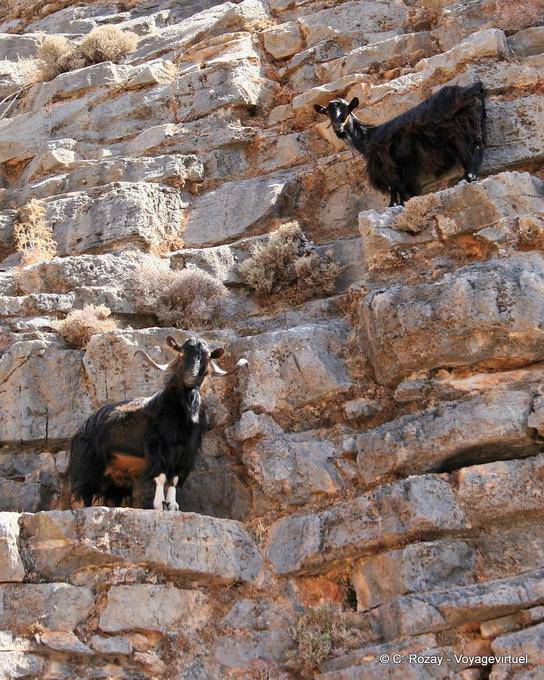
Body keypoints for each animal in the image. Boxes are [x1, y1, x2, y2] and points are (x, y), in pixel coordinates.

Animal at [68, 336, 247, 510]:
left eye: (205, 357)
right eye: (182, 354)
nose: (190, 377)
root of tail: (85, 426)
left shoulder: (184, 452)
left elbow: (174, 478)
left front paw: (173, 505)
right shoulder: (158, 448)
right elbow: (161, 476)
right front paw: (160, 504)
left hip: (116, 476)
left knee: (111, 497)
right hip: (88, 465)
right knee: (82, 493)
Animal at [315, 82, 486, 206]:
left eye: (346, 111)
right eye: (328, 113)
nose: (338, 129)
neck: (367, 138)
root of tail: (471, 90)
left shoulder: (386, 163)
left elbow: (394, 186)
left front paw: (394, 205)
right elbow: (399, 186)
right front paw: (399, 203)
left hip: (457, 130)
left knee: (470, 151)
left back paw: (467, 178)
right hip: (473, 124)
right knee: (477, 148)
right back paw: (470, 177)